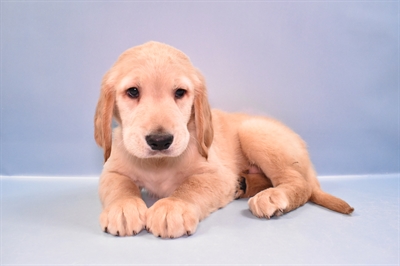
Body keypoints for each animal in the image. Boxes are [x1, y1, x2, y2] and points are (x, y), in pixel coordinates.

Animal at [94, 42, 354, 239]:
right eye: (133, 92)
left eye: (180, 93)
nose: (160, 141)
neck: (158, 164)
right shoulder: (112, 171)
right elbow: (121, 186)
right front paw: (124, 207)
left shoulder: (217, 175)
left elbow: (190, 187)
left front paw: (173, 206)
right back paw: (244, 186)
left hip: (254, 131)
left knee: (300, 184)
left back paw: (270, 196)